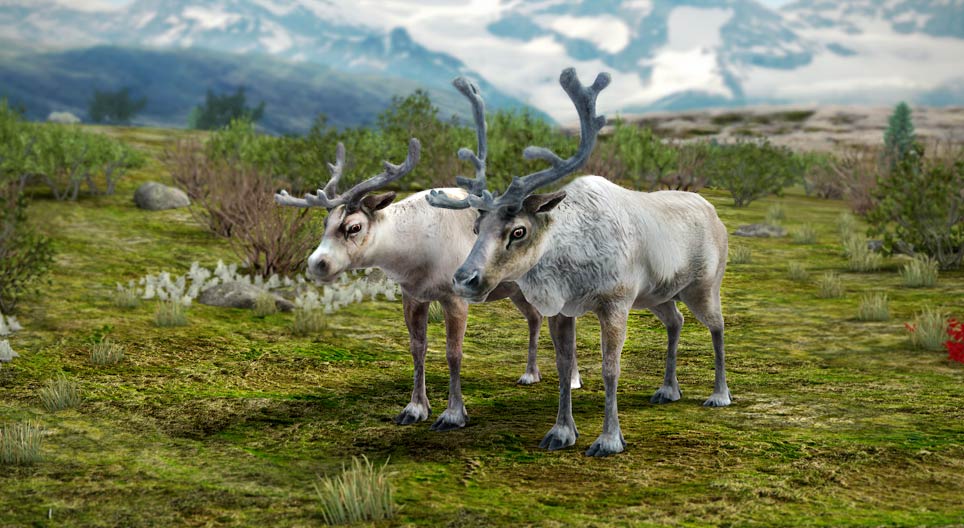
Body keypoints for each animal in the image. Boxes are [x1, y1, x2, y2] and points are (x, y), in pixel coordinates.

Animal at [275, 80, 582, 431]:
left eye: (354, 226)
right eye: (325, 223)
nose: (317, 264)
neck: (412, 251)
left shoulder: (455, 296)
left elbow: (453, 352)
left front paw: (453, 414)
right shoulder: (413, 295)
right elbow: (417, 348)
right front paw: (414, 408)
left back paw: (573, 379)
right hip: (515, 289)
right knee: (534, 317)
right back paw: (530, 374)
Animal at [426, 67, 731, 456]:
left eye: (519, 230)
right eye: (477, 227)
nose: (464, 279)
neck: (569, 270)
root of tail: (714, 213)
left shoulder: (616, 302)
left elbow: (610, 368)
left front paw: (609, 439)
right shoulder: (562, 310)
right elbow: (563, 364)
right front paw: (561, 432)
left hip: (704, 286)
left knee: (718, 326)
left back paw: (719, 395)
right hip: (657, 295)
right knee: (675, 321)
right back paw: (668, 390)